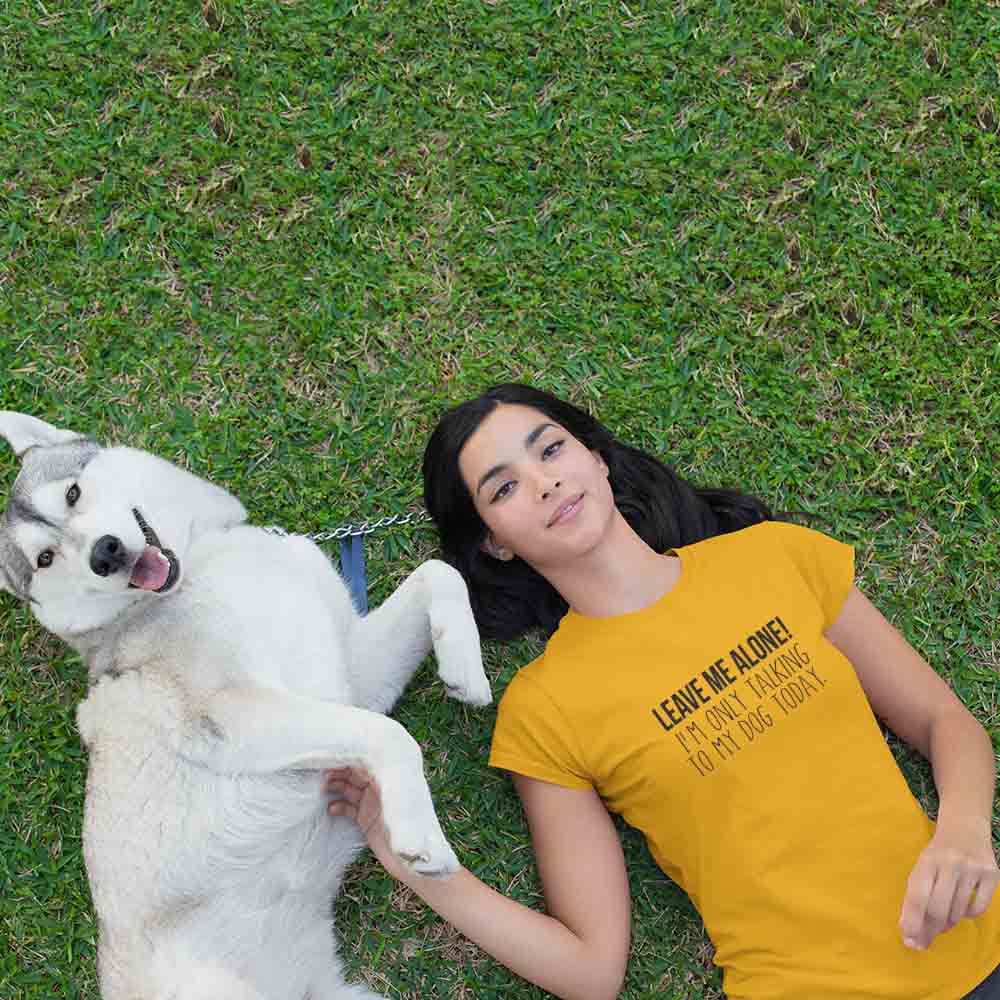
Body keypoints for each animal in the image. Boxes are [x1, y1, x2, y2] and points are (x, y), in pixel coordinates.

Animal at [0, 412, 492, 1000]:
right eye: (46, 559)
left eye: (73, 494)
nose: (106, 553)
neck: (201, 557)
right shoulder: (235, 713)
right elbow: (390, 735)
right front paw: (420, 834)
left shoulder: (352, 677)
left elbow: (441, 573)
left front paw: (465, 667)